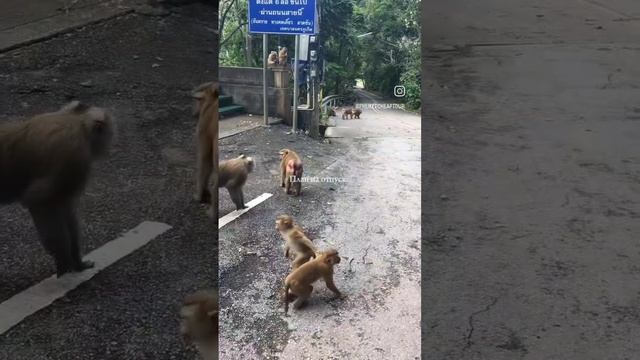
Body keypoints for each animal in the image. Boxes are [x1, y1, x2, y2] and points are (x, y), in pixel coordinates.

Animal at [0, 100, 114, 276]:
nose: (107, 145)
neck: (76, 121)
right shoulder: (74, 158)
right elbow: (38, 201)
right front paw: (63, 259)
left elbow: (65, 208)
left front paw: (77, 261)